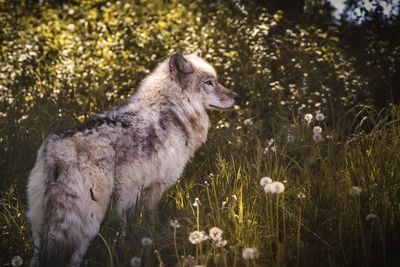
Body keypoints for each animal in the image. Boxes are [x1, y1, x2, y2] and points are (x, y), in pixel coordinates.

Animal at [26, 51, 239, 266]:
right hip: (87, 222)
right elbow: (149, 223)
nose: (237, 96)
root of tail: (58, 151)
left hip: (41, 226)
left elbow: (133, 230)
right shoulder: (155, 187)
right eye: (209, 83)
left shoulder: (134, 193)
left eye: (216, 81)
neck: (174, 108)